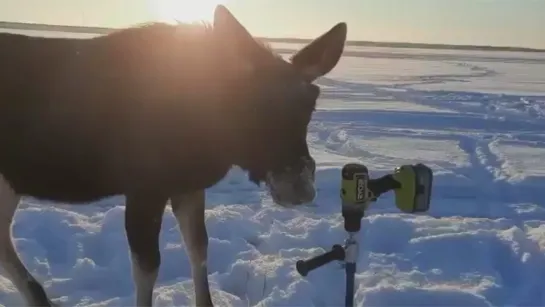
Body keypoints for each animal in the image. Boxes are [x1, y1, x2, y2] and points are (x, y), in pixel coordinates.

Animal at [0, 4, 346, 307]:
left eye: (311, 103)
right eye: (252, 105)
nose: (300, 186)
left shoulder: (188, 185)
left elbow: (199, 248)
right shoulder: (144, 188)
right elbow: (148, 268)